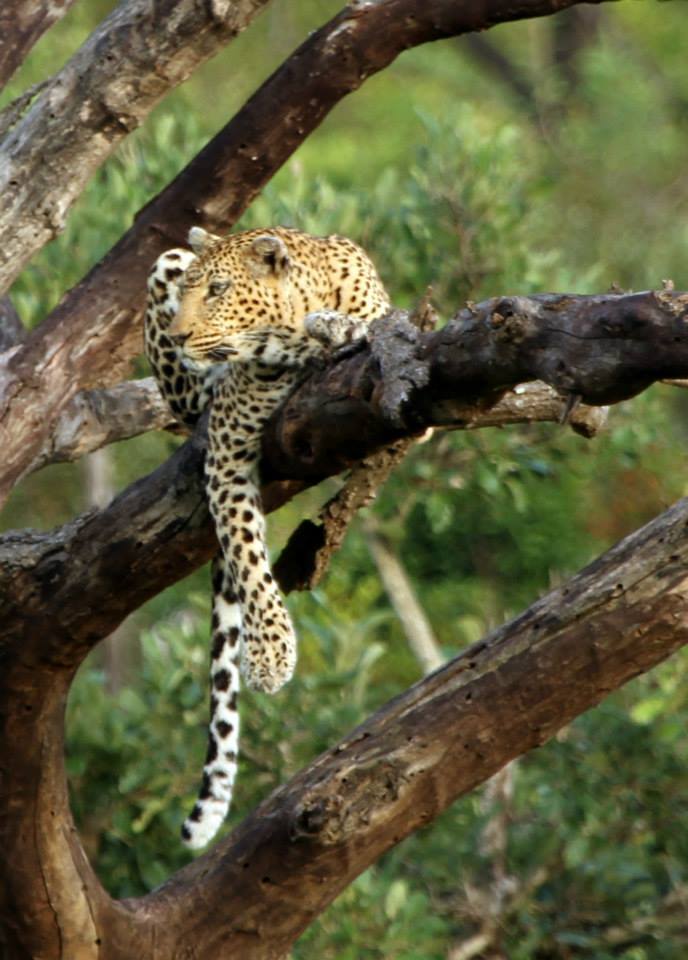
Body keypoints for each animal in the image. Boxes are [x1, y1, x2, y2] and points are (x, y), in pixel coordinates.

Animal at [145, 225, 390, 849]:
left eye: (219, 291)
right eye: (189, 293)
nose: (180, 334)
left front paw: (333, 328)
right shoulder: (227, 457)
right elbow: (251, 562)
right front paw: (271, 656)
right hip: (166, 266)